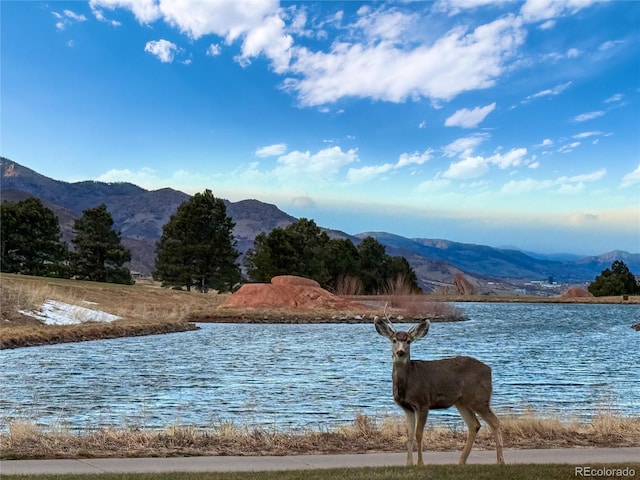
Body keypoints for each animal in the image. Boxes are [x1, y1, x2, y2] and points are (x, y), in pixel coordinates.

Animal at [376, 316, 504, 466]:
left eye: (408, 341)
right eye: (394, 340)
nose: (400, 352)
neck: (408, 380)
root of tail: (489, 370)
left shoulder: (423, 402)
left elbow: (419, 434)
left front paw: (420, 463)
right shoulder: (407, 407)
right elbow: (409, 435)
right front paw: (408, 464)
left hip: (479, 398)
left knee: (495, 422)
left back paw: (500, 461)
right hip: (461, 402)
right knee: (474, 425)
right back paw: (461, 462)